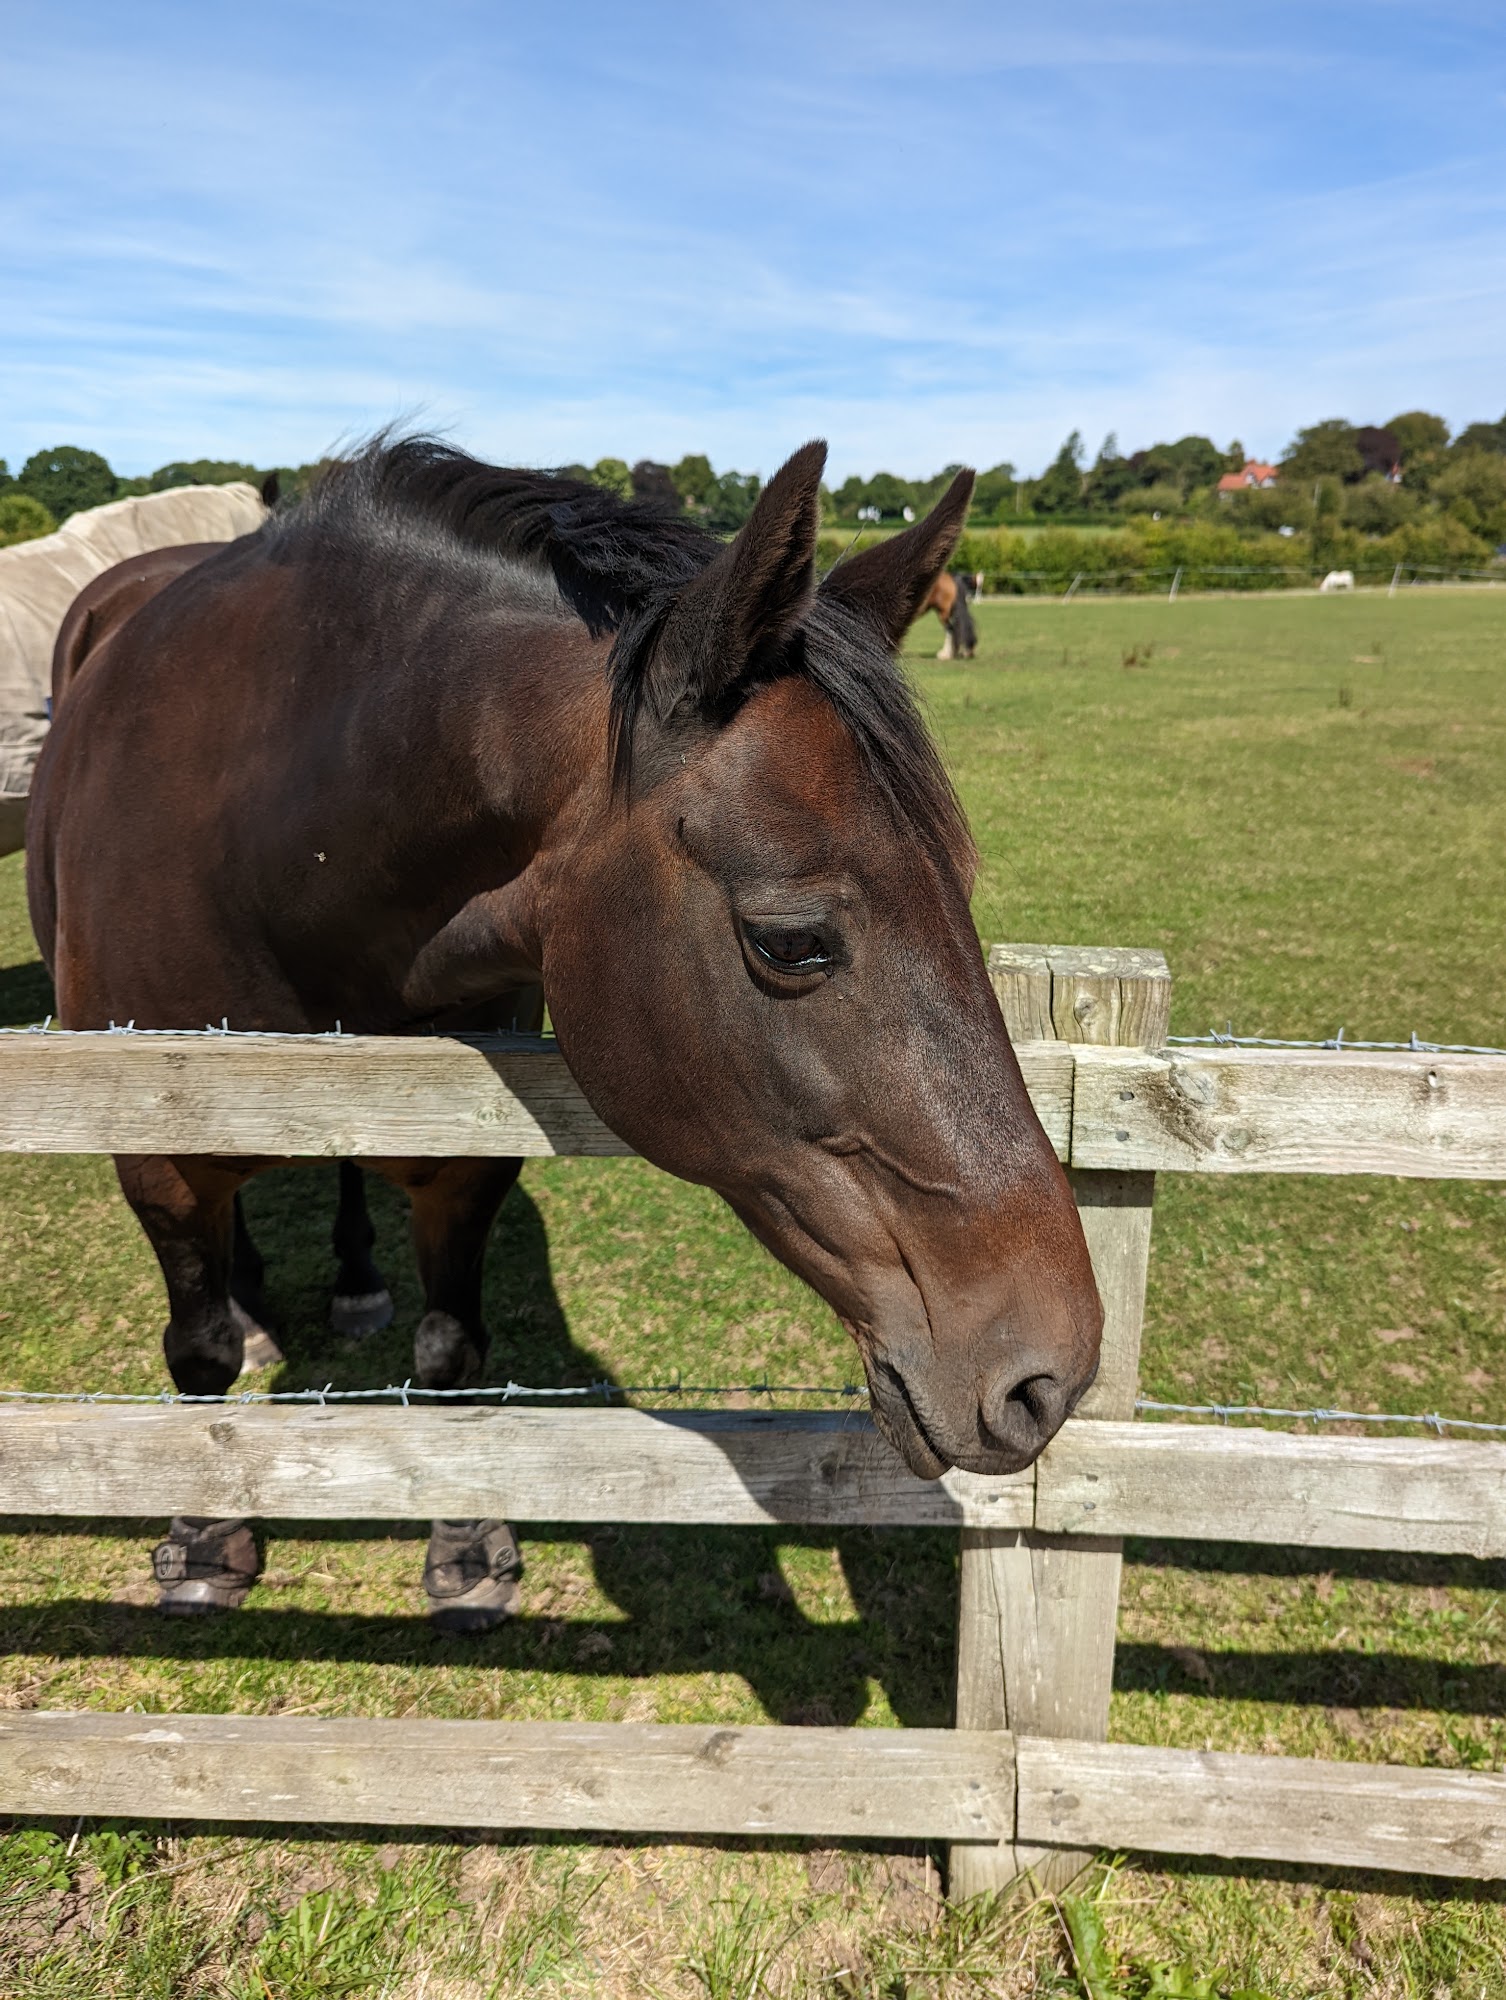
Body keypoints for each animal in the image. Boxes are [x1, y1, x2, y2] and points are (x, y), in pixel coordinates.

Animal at [27, 436, 1103, 1627]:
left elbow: (452, 1350)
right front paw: (206, 1535)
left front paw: (461, 1545)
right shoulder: (153, 1155)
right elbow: (200, 1351)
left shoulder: (459, 1161)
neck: (269, 840)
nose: (1049, 1374)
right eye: (791, 942)